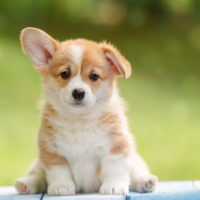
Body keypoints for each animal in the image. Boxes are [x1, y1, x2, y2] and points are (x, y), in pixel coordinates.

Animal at [14, 27, 158, 195]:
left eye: (94, 76)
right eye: (65, 74)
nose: (78, 93)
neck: (80, 120)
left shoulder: (117, 146)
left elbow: (115, 168)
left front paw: (113, 186)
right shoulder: (51, 150)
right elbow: (59, 171)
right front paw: (61, 187)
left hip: (136, 161)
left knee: (135, 172)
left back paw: (145, 181)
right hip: (38, 163)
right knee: (38, 175)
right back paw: (26, 184)